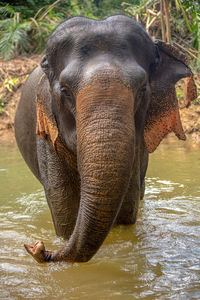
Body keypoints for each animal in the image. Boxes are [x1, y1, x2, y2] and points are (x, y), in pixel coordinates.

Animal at [14, 15, 197, 262]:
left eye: (142, 89)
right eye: (65, 90)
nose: (38, 247)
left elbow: (127, 211)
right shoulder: (48, 140)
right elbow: (64, 216)